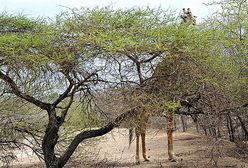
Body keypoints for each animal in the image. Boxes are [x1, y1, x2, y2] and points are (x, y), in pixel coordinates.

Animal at [128, 8, 198, 164]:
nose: (194, 23)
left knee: (143, 130)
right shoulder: (169, 102)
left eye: (192, 15)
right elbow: (170, 128)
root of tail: (132, 95)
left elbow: (170, 129)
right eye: (185, 16)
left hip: (146, 113)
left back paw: (145, 157)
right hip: (139, 112)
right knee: (138, 130)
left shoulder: (173, 102)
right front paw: (172, 156)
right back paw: (137, 159)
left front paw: (172, 155)